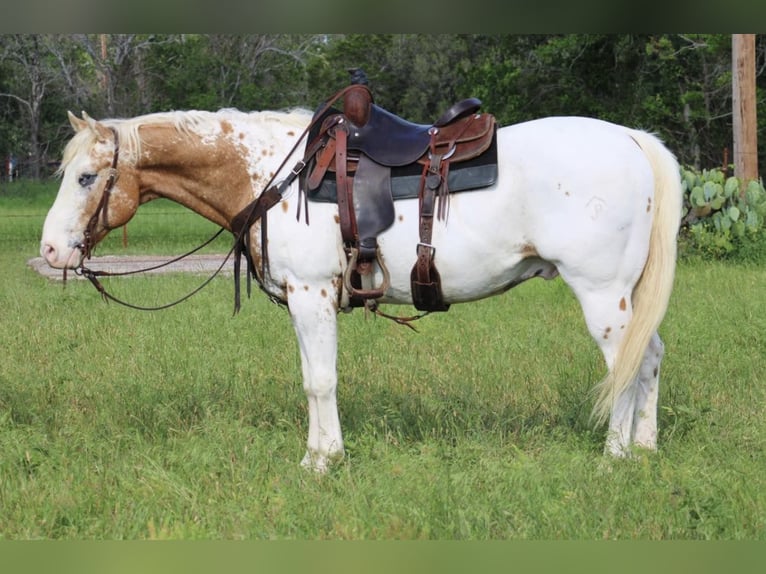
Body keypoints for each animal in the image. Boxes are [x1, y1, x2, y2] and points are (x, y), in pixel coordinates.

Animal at [40, 107, 684, 472]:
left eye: (87, 177)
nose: (49, 251)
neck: (275, 174)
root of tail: (631, 140)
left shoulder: (312, 294)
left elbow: (320, 380)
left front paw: (324, 461)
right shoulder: (306, 299)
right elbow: (312, 378)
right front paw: (318, 455)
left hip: (601, 294)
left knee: (625, 367)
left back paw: (614, 457)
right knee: (650, 356)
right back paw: (646, 449)